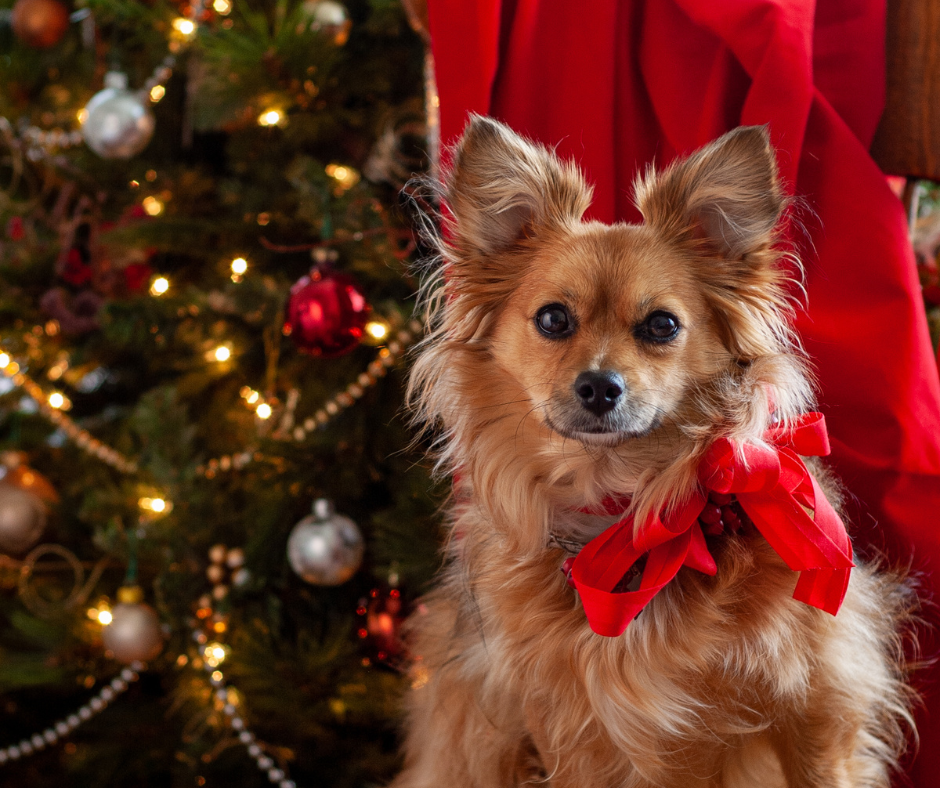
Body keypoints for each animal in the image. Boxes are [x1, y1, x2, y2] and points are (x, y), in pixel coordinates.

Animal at [392, 117, 916, 788]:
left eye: (662, 326)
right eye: (553, 319)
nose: (599, 386)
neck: (626, 516)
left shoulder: (819, 710)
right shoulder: (572, 732)